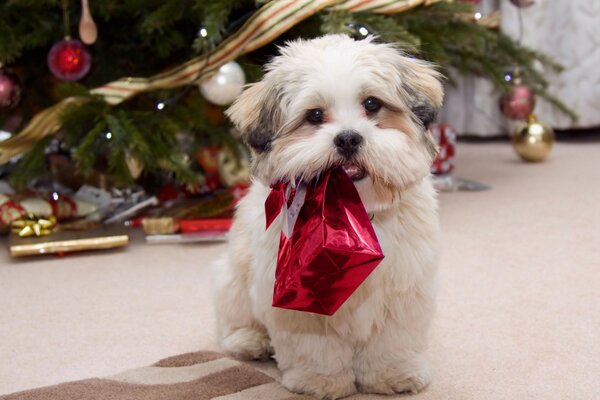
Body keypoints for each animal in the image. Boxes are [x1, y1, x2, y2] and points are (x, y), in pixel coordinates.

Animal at [213, 35, 442, 400]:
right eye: (315, 115)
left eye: (372, 104)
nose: (348, 137)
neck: (352, 215)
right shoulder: (296, 299)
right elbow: (315, 347)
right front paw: (319, 380)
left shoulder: (404, 288)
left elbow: (392, 341)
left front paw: (392, 373)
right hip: (232, 276)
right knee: (234, 317)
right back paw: (250, 340)